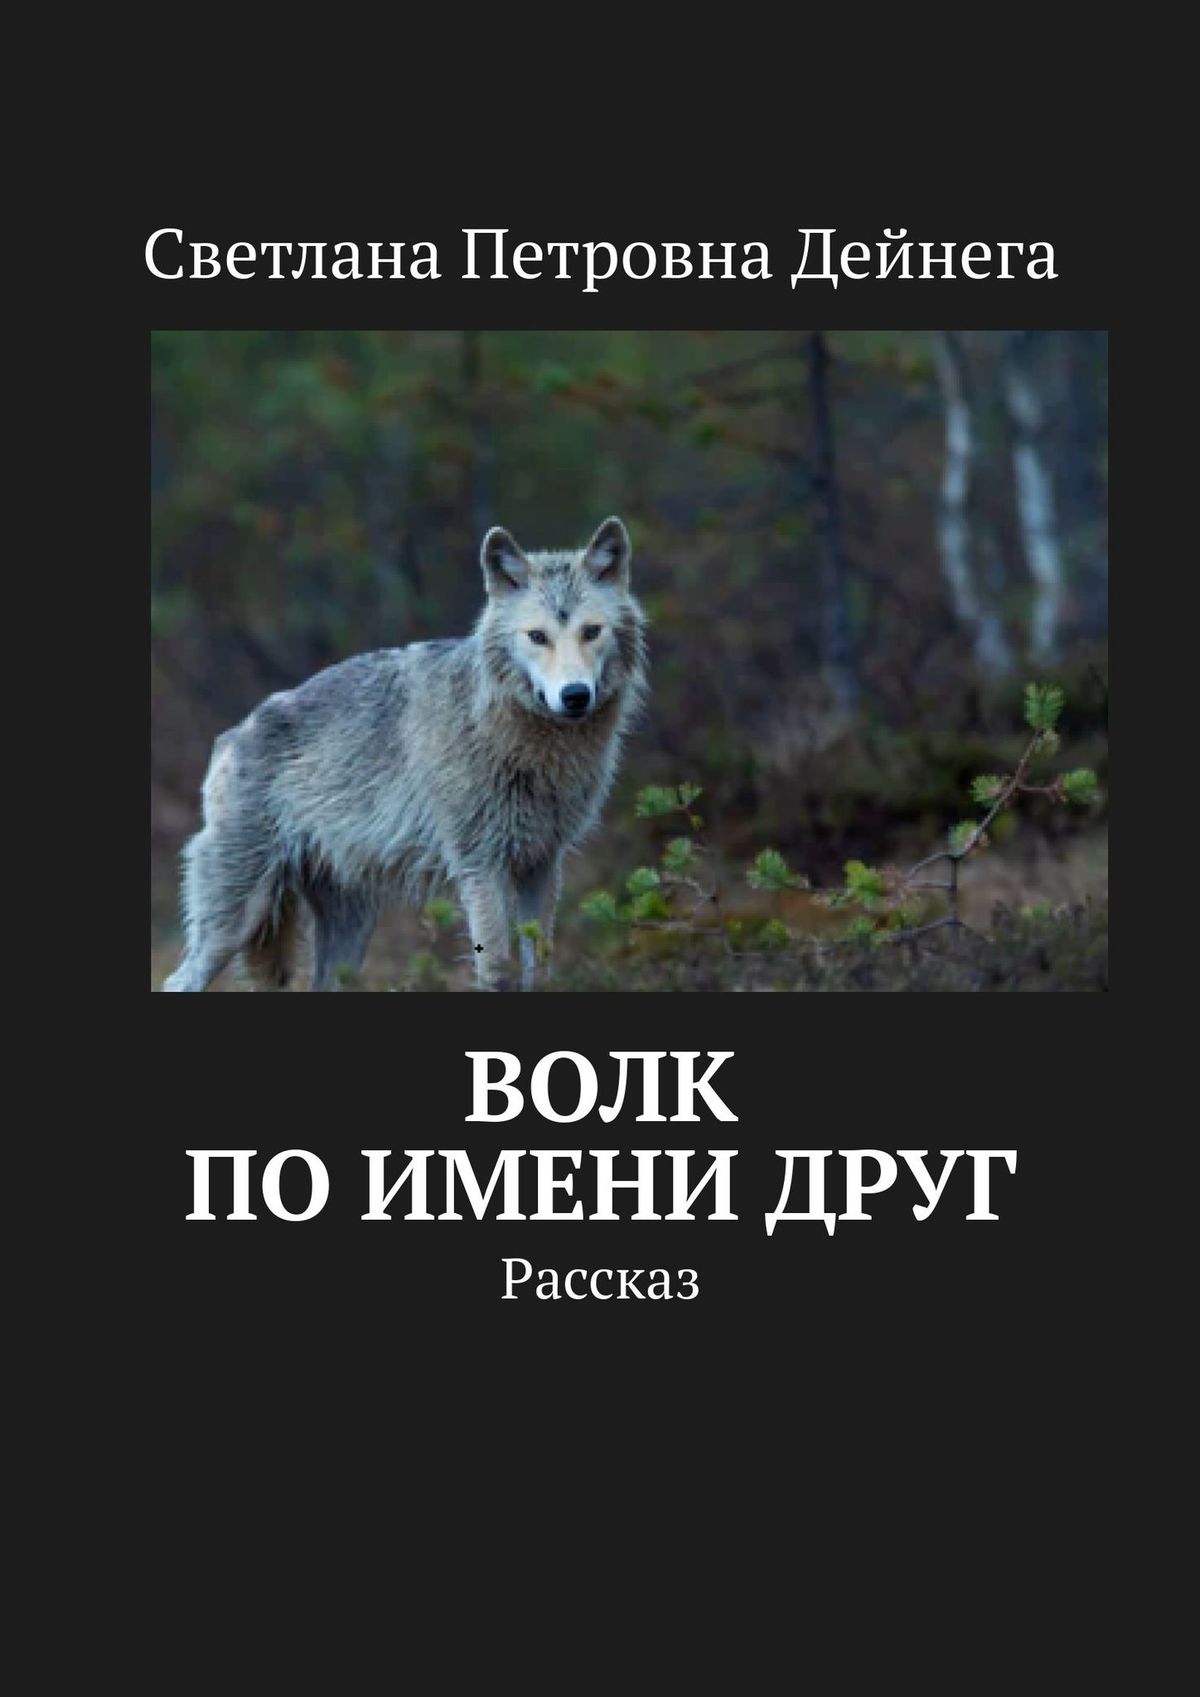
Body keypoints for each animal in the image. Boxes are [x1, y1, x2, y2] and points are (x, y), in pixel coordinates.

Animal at [163, 517, 647, 992]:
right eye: (538, 636)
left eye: (591, 631)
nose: (575, 695)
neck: (522, 742)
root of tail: (230, 735)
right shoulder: (480, 866)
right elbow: (497, 971)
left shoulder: (542, 865)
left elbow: (540, 969)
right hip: (236, 921)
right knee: (177, 980)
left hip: (350, 929)